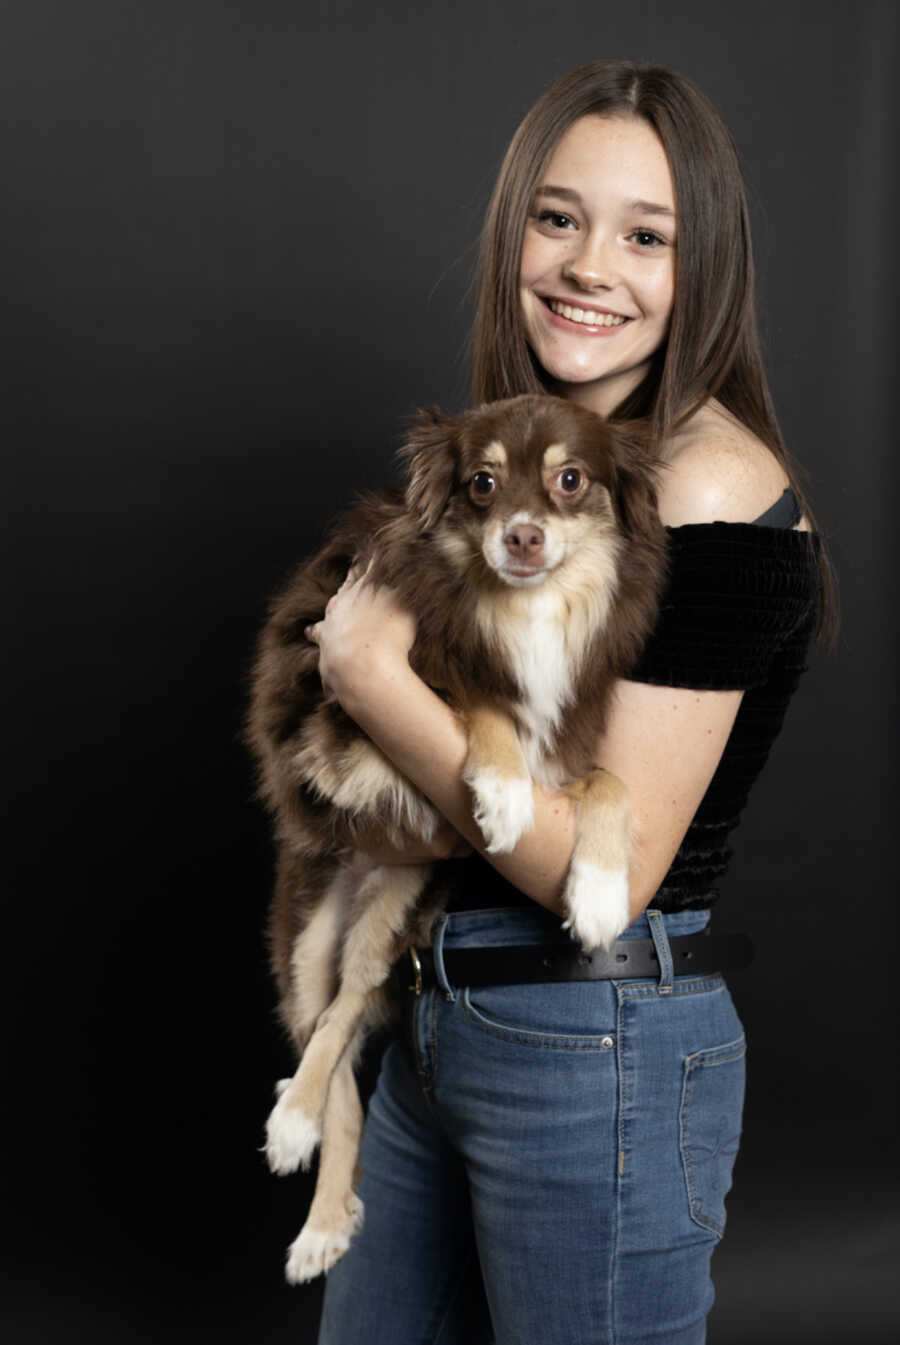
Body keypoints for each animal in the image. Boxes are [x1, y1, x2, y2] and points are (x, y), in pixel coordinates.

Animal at [246, 390, 667, 1280]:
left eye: (571, 481)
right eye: (482, 483)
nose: (523, 537)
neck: (525, 605)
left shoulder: (570, 744)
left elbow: (608, 784)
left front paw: (599, 892)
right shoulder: (333, 706)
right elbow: (473, 694)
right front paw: (500, 795)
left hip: (396, 904)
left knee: (350, 1006)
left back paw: (322, 1198)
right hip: (303, 938)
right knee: (327, 1038)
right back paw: (303, 1151)